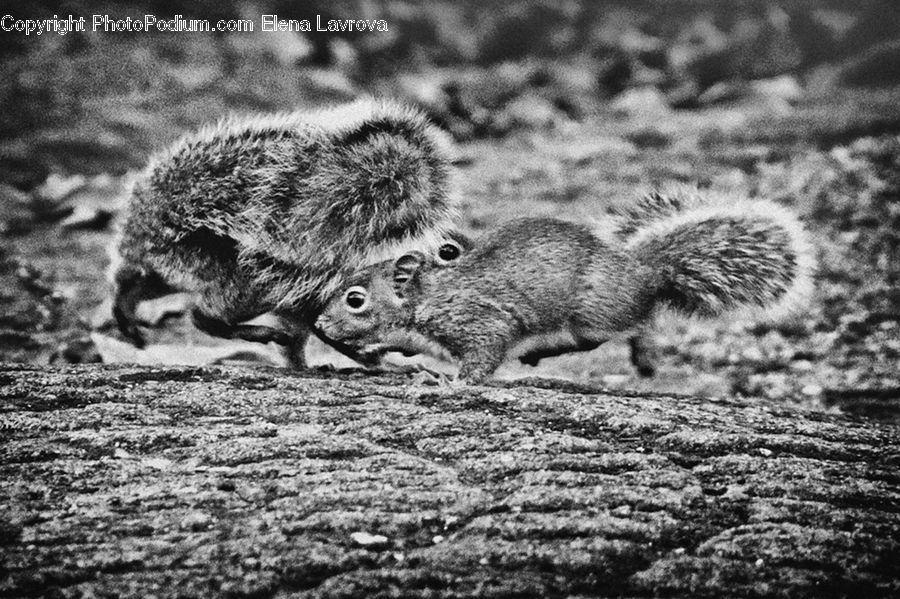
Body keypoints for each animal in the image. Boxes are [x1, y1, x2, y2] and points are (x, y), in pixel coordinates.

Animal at [111, 98, 458, 367]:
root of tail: (151, 218)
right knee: (203, 316)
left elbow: (300, 342)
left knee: (142, 281)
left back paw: (126, 305)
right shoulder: (319, 302)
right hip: (239, 282)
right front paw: (387, 362)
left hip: (185, 264)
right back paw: (258, 332)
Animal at [314, 188, 816, 383]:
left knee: (605, 335)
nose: (319, 325)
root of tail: (643, 273)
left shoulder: (476, 319)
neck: (426, 297)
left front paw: (448, 382)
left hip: (591, 314)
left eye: (355, 299)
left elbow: (483, 354)